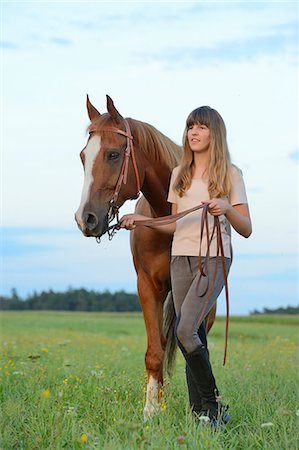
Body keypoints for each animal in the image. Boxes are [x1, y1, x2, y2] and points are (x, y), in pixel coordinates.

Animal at [74, 96, 217, 422]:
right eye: (83, 157)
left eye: (114, 154)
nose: (85, 219)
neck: (168, 218)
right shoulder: (148, 286)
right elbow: (154, 352)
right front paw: (151, 411)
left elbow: (193, 351)